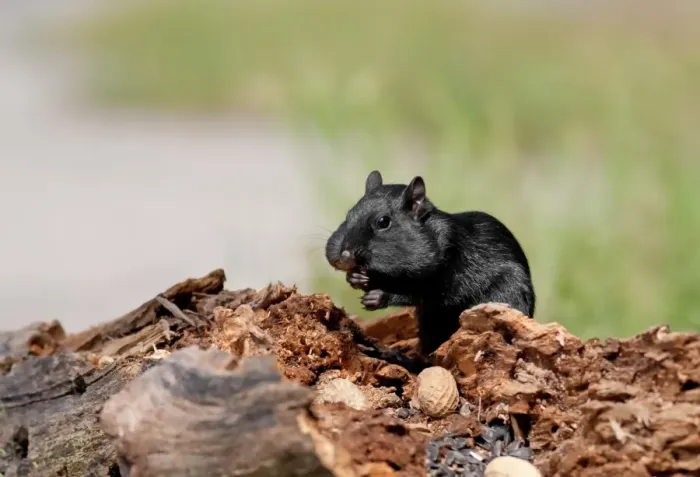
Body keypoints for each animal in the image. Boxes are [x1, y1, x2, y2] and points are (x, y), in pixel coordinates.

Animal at [325, 170, 535, 356]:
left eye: (383, 222)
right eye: (348, 215)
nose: (343, 256)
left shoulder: (448, 271)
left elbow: (418, 292)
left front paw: (379, 296)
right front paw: (355, 277)